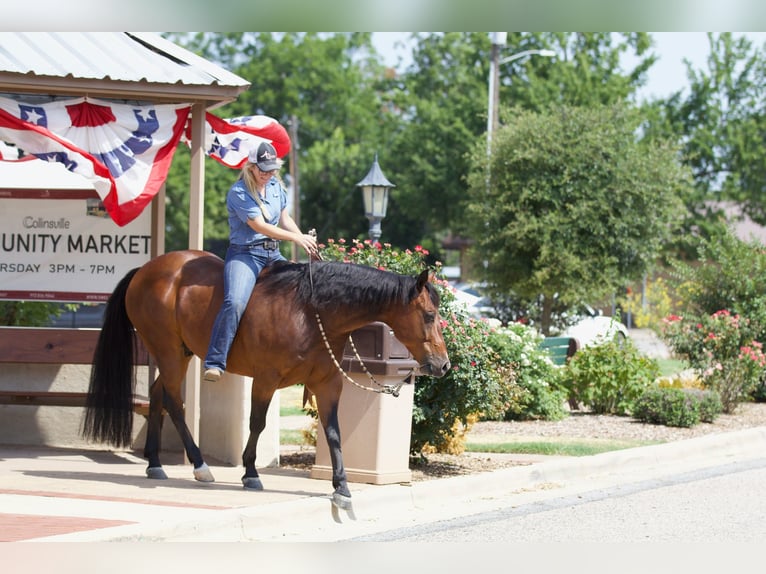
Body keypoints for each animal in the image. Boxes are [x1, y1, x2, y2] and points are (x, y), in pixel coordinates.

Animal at [79, 250, 450, 510]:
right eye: (429, 315)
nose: (443, 365)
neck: (311, 311)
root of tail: (146, 270)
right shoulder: (266, 379)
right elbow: (256, 423)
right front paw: (250, 472)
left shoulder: (328, 384)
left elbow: (333, 432)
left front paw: (341, 486)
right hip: (169, 352)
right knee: (174, 402)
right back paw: (199, 465)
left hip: (177, 354)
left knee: (158, 395)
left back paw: (155, 463)